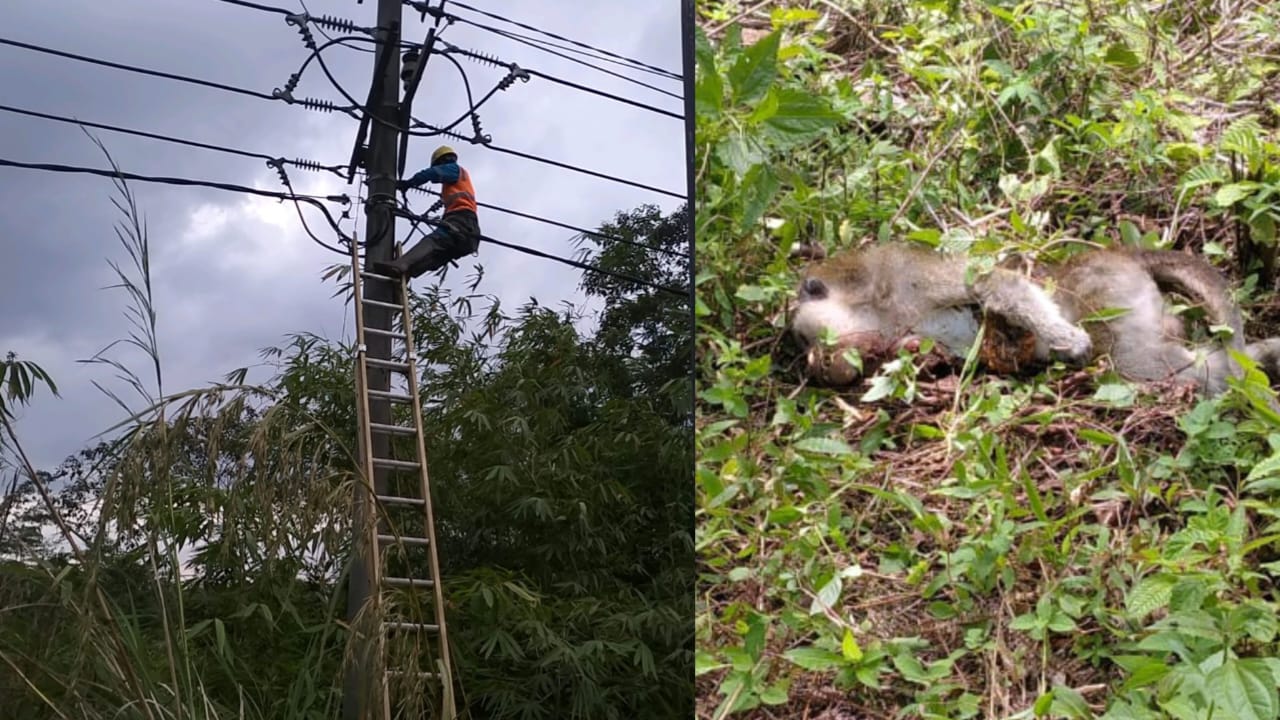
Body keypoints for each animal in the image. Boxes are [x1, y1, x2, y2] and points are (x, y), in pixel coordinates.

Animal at [793, 243, 1280, 394]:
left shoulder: (904, 277)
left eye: (803, 339)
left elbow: (990, 282)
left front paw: (1065, 338)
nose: (814, 363)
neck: (874, 308)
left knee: (1143, 361)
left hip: (1110, 290)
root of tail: (1121, 254)